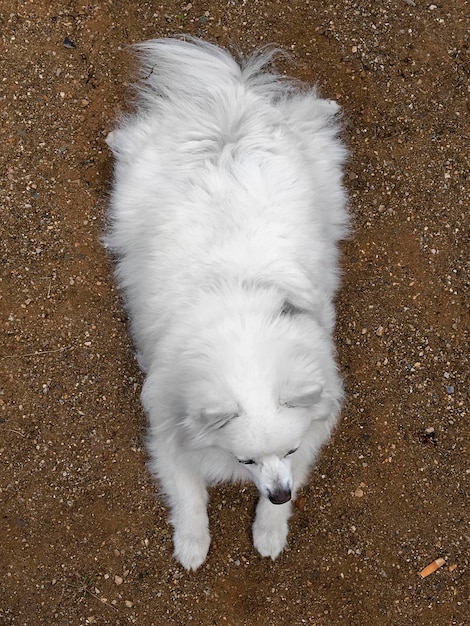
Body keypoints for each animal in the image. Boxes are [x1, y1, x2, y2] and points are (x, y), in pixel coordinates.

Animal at [106, 36, 348, 568]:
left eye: (289, 451)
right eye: (246, 460)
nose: (279, 492)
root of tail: (230, 112)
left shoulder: (308, 437)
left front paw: (270, 530)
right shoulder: (169, 434)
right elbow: (189, 497)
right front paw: (192, 544)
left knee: (306, 116)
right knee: (133, 137)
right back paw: (116, 139)